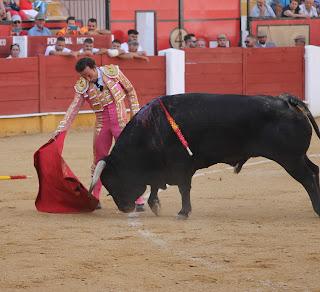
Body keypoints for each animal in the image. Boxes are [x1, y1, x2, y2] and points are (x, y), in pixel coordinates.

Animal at [89, 92, 320, 218]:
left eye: (113, 181)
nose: (125, 208)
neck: (151, 129)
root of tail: (286, 100)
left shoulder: (181, 166)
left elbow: (183, 188)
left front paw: (183, 213)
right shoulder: (163, 167)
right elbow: (155, 185)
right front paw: (156, 205)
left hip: (290, 159)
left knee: (308, 178)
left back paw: (317, 209)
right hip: (298, 157)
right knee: (315, 170)